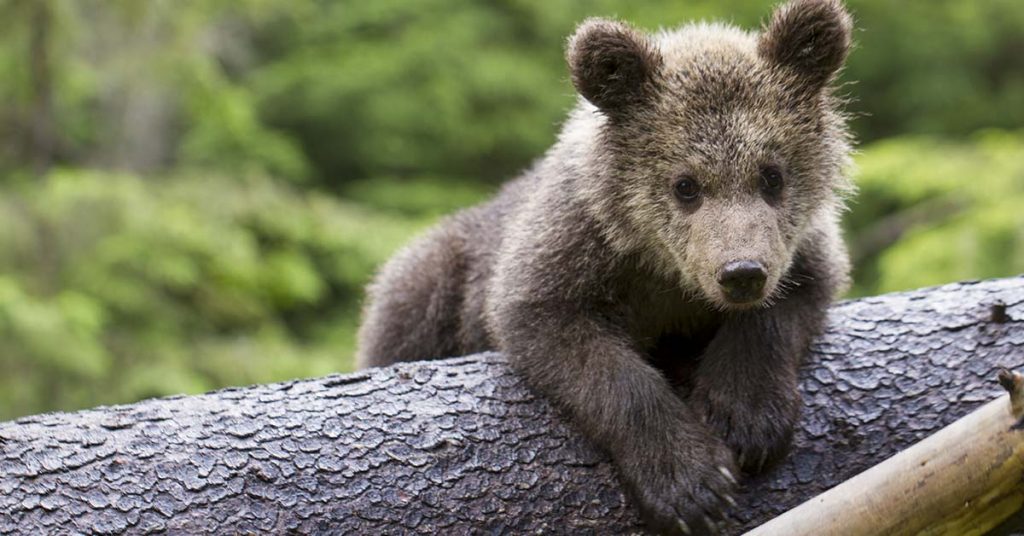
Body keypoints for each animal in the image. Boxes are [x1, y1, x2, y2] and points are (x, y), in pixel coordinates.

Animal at [356, 0, 854, 533]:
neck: (663, 271)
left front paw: (746, 417)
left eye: (772, 175)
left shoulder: (800, 248)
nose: (741, 273)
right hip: (433, 280)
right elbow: (576, 346)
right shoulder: (572, 247)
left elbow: (791, 301)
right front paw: (691, 485)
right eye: (685, 184)